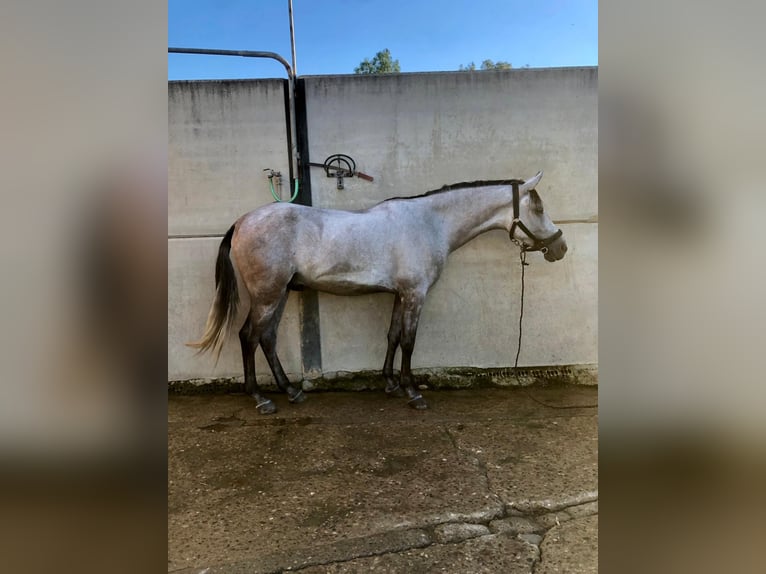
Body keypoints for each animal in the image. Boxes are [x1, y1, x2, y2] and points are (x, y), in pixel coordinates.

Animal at [189, 171, 568, 414]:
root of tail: (243, 221)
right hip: (267, 295)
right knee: (249, 337)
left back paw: (292, 391)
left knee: (266, 338)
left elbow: (393, 335)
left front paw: (390, 384)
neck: (430, 222)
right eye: (538, 208)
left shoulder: (401, 294)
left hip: (279, 294)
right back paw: (261, 399)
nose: (561, 248)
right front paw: (413, 392)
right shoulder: (415, 294)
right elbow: (409, 341)